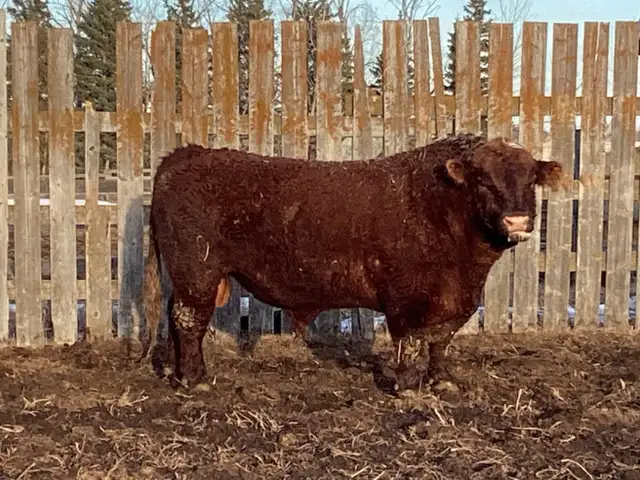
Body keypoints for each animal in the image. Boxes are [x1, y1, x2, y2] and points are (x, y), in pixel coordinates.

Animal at [140, 133, 565, 393]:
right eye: (483, 180)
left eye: (531, 180)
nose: (517, 221)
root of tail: (187, 153)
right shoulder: (405, 298)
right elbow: (410, 341)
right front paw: (407, 387)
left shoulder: (455, 299)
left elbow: (440, 340)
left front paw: (441, 380)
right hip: (197, 272)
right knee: (187, 320)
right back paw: (194, 379)